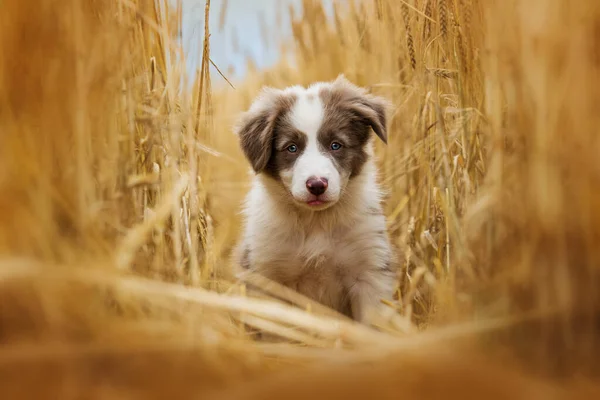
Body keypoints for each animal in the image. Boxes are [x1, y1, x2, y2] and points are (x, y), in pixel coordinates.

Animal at [234, 75, 398, 324]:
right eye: (291, 148)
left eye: (336, 145)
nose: (317, 185)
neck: (315, 221)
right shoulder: (266, 272)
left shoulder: (369, 271)